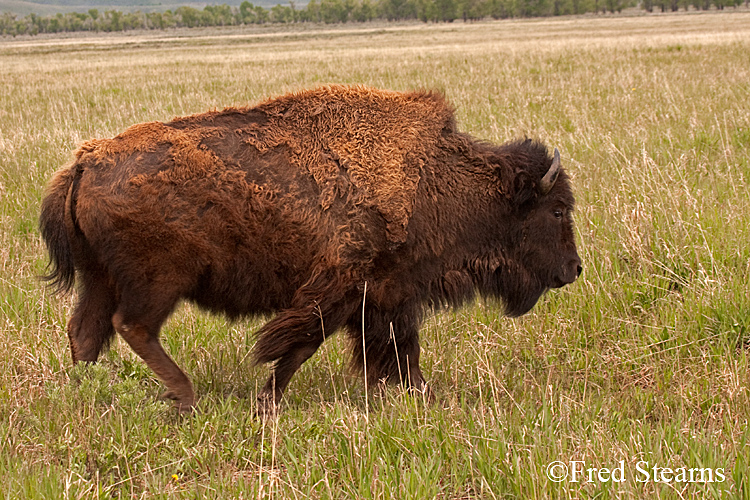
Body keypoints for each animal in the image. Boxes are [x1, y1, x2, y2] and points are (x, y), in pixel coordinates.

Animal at [38, 85, 584, 414]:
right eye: (557, 210)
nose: (575, 269)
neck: (433, 179)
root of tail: (86, 161)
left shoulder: (385, 296)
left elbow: (396, 349)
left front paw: (417, 397)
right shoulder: (343, 289)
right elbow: (300, 346)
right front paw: (268, 403)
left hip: (100, 279)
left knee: (86, 332)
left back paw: (86, 392)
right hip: (157, 281)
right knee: (132, 327)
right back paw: (186, 396)